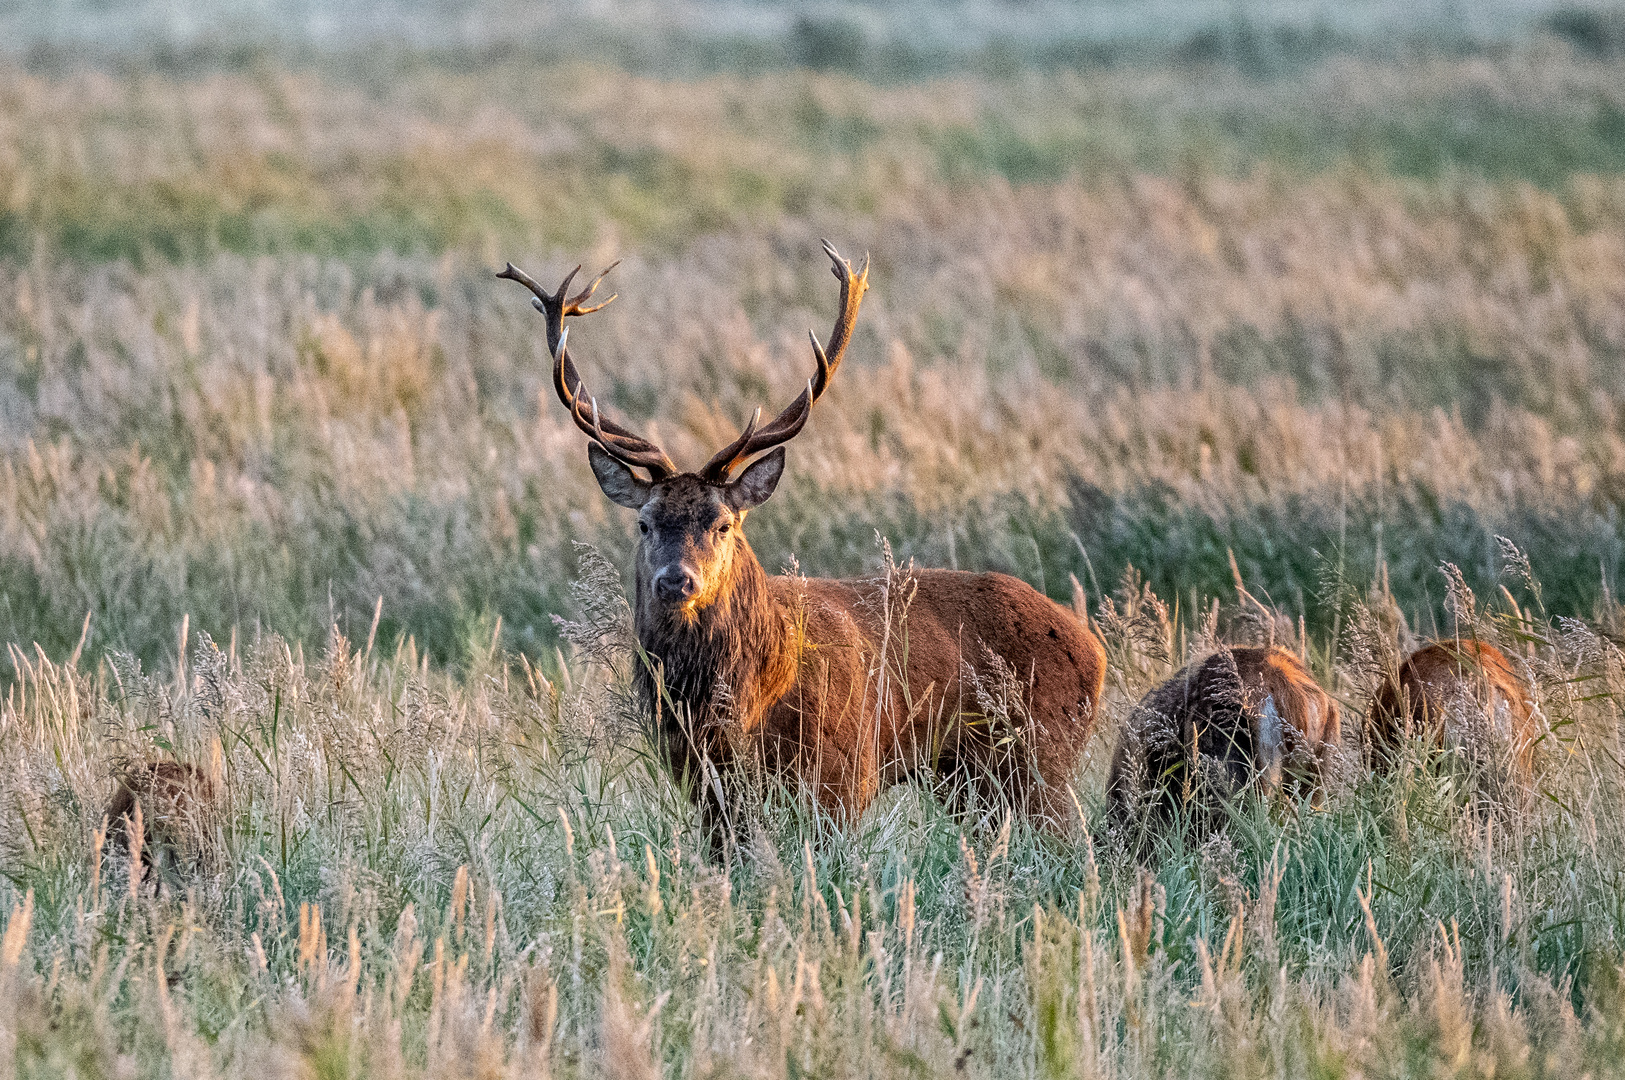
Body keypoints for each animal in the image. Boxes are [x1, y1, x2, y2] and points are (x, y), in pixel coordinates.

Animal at [494, 240, 1105, 838]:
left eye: (723, 523)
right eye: (645, 523)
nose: (675, 581)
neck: (747, 707)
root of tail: (1094, 651)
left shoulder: (844, 774)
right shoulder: (705, 789)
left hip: (1039, 758)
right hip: (968, 779)